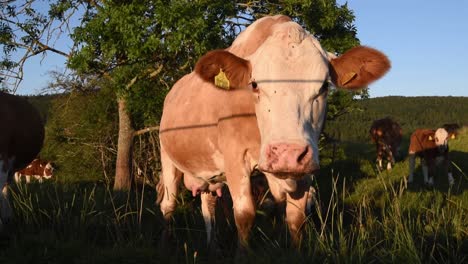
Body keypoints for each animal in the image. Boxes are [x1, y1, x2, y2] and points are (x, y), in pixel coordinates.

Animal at [155, 13, 390, 250]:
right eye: (254, 84)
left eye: (324, 86)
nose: (288, 153)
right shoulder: (235, 157)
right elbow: (245, 215)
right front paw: (244, 253)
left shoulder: (303, 169)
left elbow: (295, 217)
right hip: (168, 158)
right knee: (168, 204)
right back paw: (165, 243)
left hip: (208, 175)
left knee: (208, 205)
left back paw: (212, 246)